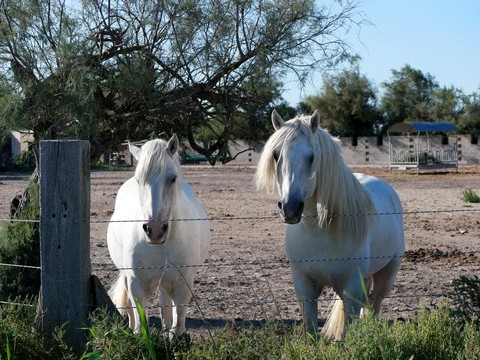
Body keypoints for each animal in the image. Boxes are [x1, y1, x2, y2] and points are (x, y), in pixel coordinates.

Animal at [109, 134, 210, 338]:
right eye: (139, 179)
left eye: (173, 178)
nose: (154, 230)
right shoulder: (136, 283)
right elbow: (140, 320)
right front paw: (138, 334)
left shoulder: (183, 283)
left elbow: (177, 320)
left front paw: (174, 337)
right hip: (127, 276)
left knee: (165, 306)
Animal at [255, 109, 404, 340]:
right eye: (276, 155)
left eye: (312, 157)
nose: (289, 208)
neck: (318, 232)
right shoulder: (304, 288)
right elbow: (310, 331)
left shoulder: (350, 291)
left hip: (386, 276)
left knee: (374, 305)